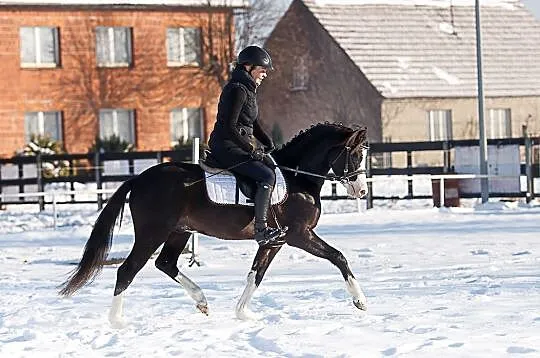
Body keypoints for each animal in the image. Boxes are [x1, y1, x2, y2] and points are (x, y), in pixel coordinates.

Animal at [59, 122, 372, 324]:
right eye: (356, 154)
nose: (361, 191)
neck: (298, 177)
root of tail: (138, 179)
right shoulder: (300, 235)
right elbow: (339, 257)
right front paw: (360, 301)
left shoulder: (275, 241)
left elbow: (256, 274)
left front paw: (243, 313)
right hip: (153, 233)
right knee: (127, 270)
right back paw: (117, 322)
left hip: (179, 232)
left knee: (165, 264)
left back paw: (202, 302)